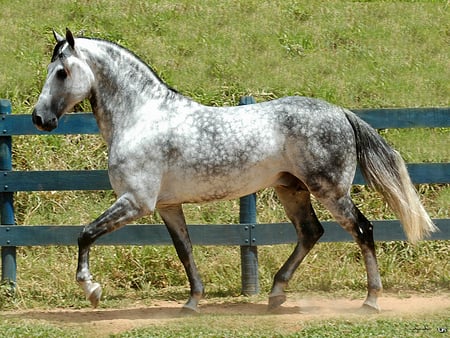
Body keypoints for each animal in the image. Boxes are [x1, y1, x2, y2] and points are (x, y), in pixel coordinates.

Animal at [30, 30, 436, 312]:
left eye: (62, 72)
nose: (39, 118)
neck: (143, 117)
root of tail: (339, 112)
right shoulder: (167, 206)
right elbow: (185, 250)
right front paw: (192, 302)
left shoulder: (136, 202)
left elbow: (85, 235)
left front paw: (92, 290)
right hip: (292, 190)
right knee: (310, 232)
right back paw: (275, 293)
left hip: (331, 191)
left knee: (363, 230)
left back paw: (370, 300)